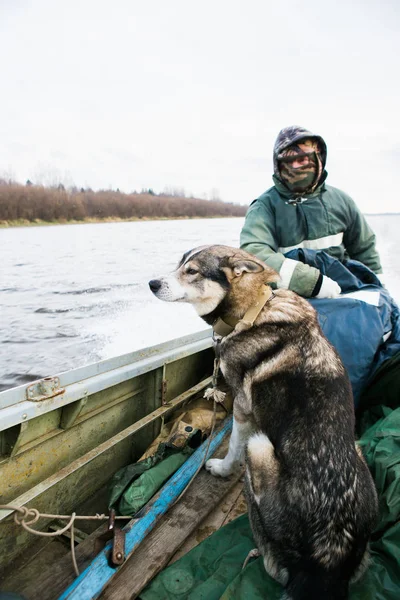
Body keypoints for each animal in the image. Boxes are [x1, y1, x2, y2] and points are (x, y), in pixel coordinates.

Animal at [149, 245, 378, 600]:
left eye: (192, 271)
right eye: (179, 265)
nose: (152, 284)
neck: (253, 310)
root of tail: (327, 560)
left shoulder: (242, 410)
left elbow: (232, 447)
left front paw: (221, 468)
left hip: (259, 448)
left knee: (272, 563)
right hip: (358, 452)